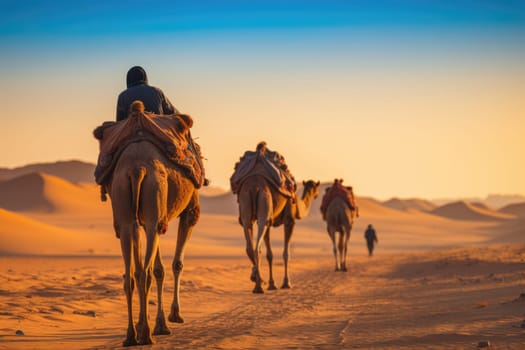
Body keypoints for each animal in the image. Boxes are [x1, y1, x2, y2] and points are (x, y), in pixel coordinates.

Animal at [106, 102, 199, 346]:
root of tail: (137, 168)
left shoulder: (147, 219)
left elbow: (157, 267)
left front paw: (151, 322)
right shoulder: (189, 212)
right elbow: (175, 263)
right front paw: (172, 317)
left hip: (127, 208)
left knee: (133, 274)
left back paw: (132, 334)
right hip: (155, 197)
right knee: (145, 272)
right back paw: (147, 333)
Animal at [236, 163, 320, 292]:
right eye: (316, 188)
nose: (317, 195)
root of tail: (254, 187)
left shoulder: (270, 222)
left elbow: (270, 254)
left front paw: (271, 284)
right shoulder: (290, 220)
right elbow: (286, 253)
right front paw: (286, 283)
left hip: (246, 207)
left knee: (250, 245)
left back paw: (258, 280)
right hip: (264, 205)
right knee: (257, 247)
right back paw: (259, 286)